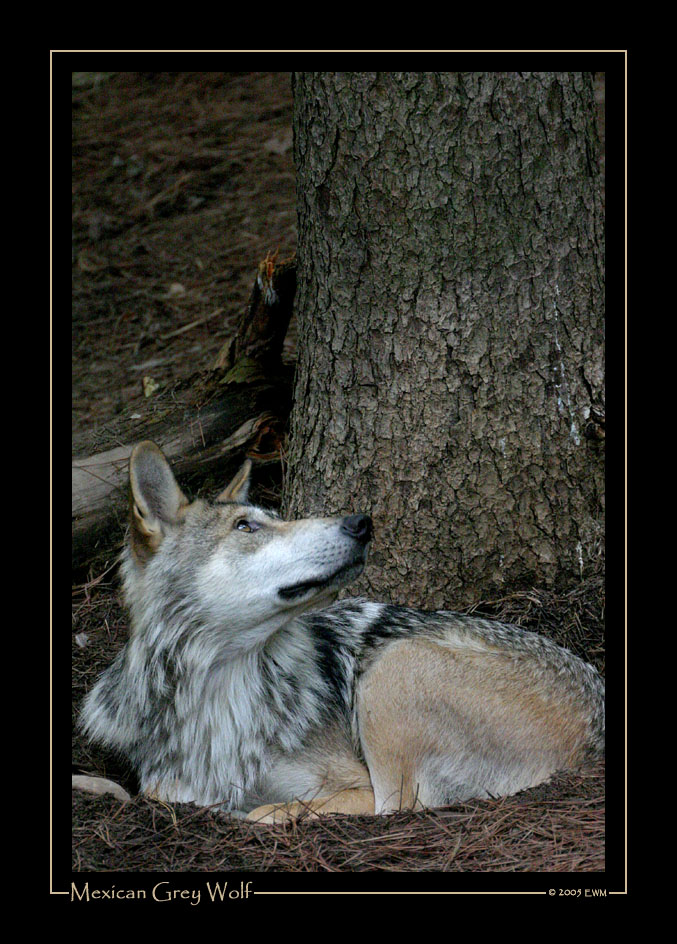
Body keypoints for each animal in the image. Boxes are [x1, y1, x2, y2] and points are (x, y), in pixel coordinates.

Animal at [82, 440, 604, 820]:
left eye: (279, 518)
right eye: (246, 526)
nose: (361, 522)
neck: (223, 694)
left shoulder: (355, 788)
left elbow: (268, 811)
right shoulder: (170, 781)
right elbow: (159, 793)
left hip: (392, 668)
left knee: (396, 809)